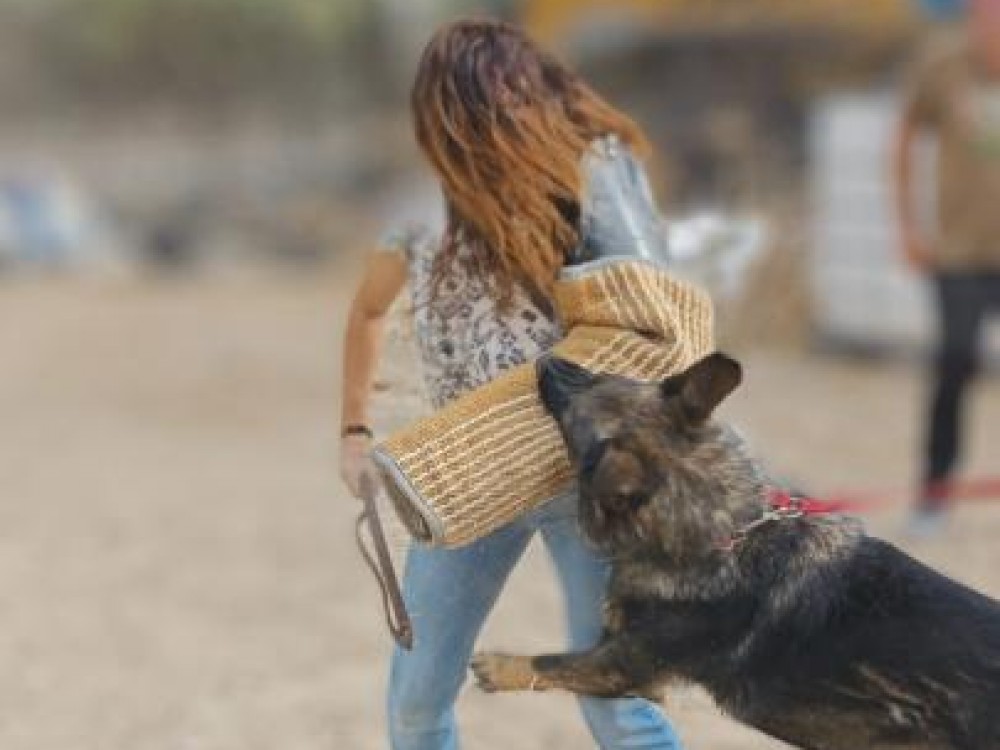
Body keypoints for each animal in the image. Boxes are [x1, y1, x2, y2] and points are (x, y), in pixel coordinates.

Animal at [471, 353, 1000, 750]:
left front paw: (498, 666)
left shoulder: (620, 665)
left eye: (592, 385)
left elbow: (552, 662)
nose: (546, 358)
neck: (719, 534)